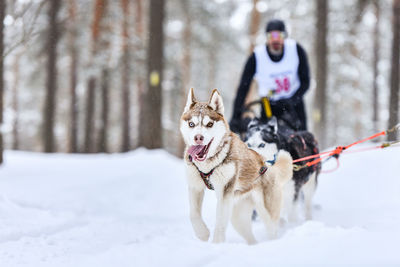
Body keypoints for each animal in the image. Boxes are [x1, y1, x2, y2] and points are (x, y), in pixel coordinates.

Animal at [180, 89, 292, 244]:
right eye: (191, 124)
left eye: (209, 124)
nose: (198, 137)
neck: (208, 164)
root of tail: (269, 166)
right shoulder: (195, 187)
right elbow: (193, 214)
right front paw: (202, 234)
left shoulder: (224, 191)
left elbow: (220, 222)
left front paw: (217, 244)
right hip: (238, 217)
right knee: (250, 237)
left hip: (267, 212)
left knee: (272, 229)